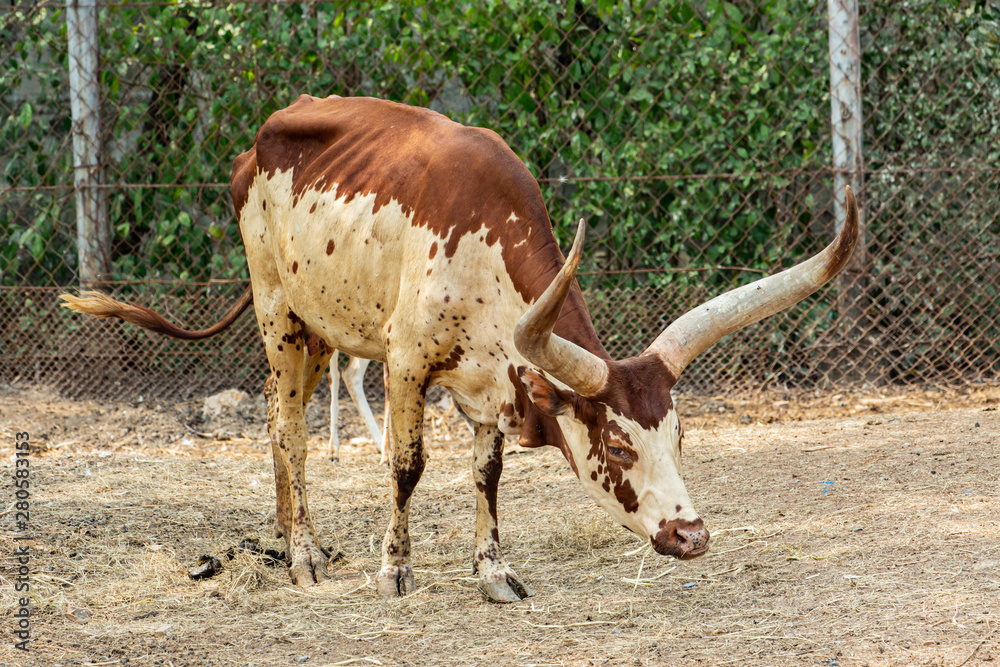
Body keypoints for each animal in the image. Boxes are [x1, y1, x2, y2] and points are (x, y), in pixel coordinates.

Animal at [62, 95, 860, 604]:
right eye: (618, 445)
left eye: (680, 435)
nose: (691, 536)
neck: (487, 244)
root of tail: (254, 143)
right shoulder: (406, 364)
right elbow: (407, 466)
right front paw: (394, 571)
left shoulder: (492, 382)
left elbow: (487, 474)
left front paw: (492, 573)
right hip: (276, 308)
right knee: (288, 427)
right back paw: (305, 556)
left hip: (320, 326)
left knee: (268, 410)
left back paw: (283, 537)